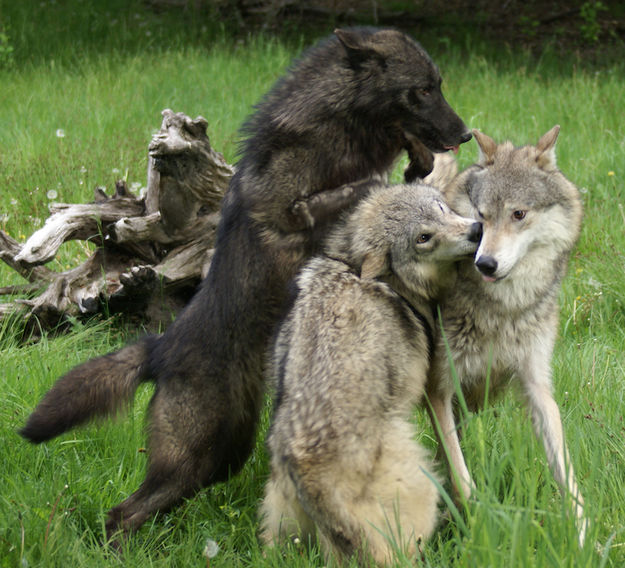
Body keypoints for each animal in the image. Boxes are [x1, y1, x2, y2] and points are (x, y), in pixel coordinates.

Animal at [19, 27, 470, 540]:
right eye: (422, 90)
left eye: (438, 85)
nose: (465, 135)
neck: (328, 130)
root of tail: (161, 348)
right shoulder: (299, 212)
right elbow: (362, 186)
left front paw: (417, 162)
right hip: (193, 455)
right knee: (121, 515)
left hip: (221, 457)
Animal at [260, 182, 480, 564]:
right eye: (423, 238)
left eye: (441, 209)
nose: (476, 230)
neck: (353, 261)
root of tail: (303, 471)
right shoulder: (434, 386)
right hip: (422, 491)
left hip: (278, 518)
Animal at [424, 126, 584, 544]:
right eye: (481, 216)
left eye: (519, 214)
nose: (485, 263)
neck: (504, 309)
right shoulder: (438, 391)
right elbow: (465, 482)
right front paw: (481, 534)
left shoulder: (536, 386)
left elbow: (567, 477)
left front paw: (585, 541)